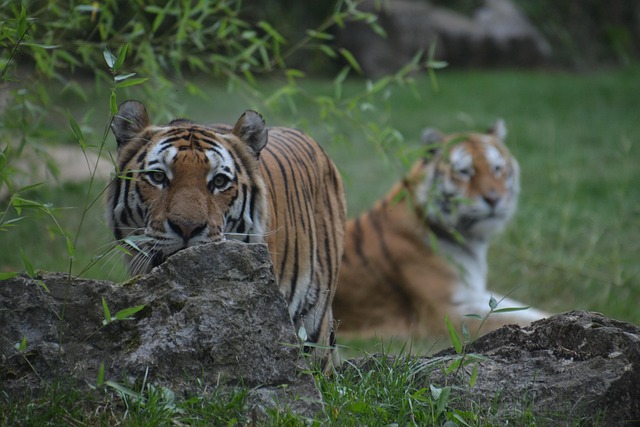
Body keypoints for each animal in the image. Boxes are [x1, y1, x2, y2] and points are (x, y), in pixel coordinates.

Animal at [333, 120, 549, 340]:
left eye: (497, 169)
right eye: (464, 171)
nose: (493, 199)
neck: (471, 241)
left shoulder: (474, 293)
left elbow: (530, 310)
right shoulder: (446, 313)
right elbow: (515, 317)